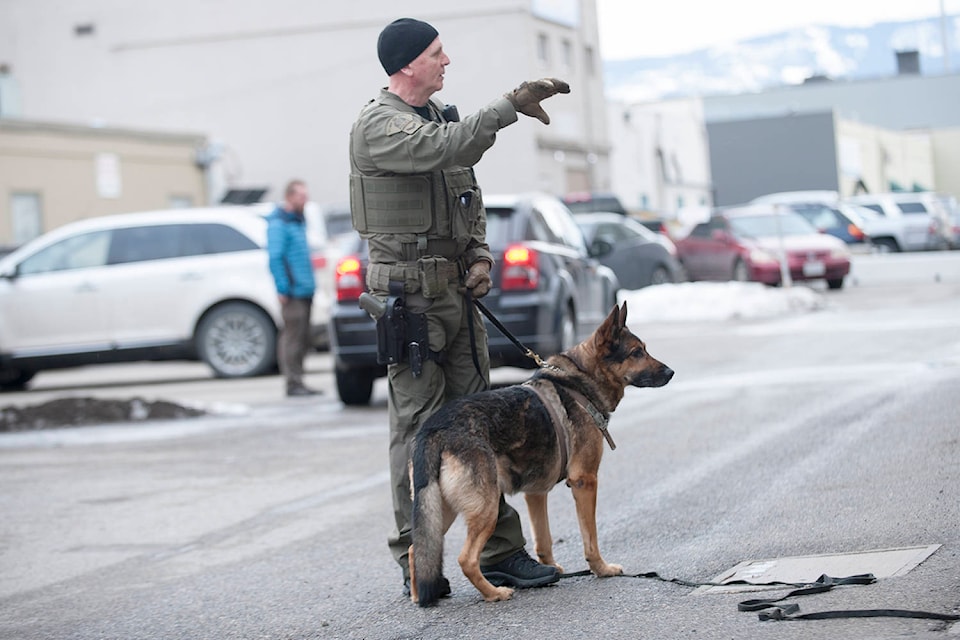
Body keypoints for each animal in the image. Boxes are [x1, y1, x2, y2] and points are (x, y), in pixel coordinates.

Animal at [408, 304, 672, 604]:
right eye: (636, 352)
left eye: (644, 350)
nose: (671, 372)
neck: (581, 381)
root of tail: (434, 429)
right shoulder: (585, 482)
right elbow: (590, 538)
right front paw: (601, 569)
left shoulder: (535, 493)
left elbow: (543, 540)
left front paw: (551, 568)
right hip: (486, 508)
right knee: (466, 559)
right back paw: (494, 593)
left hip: (441, 509)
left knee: (416, 549)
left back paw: (419, 595)